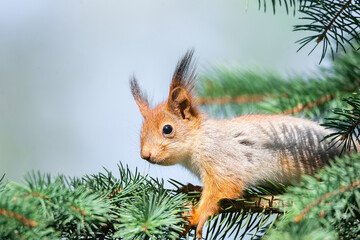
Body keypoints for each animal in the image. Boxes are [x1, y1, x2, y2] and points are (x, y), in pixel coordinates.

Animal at [129, 50, 340, 238]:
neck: (200, 140)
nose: (145, 155)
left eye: (167, 129)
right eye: (141, 131)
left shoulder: (223, 158)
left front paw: (198, 216)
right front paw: (193, 188)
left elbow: (225, 187)